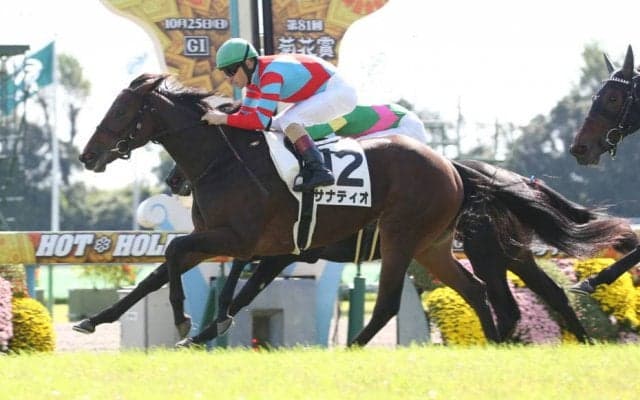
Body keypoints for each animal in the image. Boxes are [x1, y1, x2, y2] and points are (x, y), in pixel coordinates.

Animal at [79, 73, 630, 347]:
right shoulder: (244, 244)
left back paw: (352, 348)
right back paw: (500, 344)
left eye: (121, 111)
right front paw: (97, 320)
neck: (225, 161)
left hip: (406, 237)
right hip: (434, 246)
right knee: (483, 292)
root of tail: (452, 169)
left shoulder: (245, 241)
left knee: (393, 303)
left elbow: (175, 256)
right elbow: (161, 272)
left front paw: (186, 322)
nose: (88, 154)